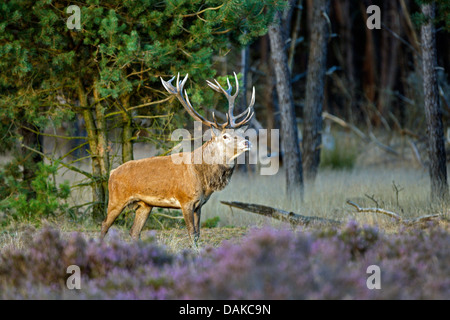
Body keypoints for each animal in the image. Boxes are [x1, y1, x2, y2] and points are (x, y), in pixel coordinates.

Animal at [102, 72, 256, 242]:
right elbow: (192, 234)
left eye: (241, 132)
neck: (203, 178)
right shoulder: (185, 200)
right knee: (104, 225)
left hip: (145, 205)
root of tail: (112, 173)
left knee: (134, 232)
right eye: (225, 136)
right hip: (116, 199)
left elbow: (198, 234)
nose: (247, 142)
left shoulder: (199, 205)